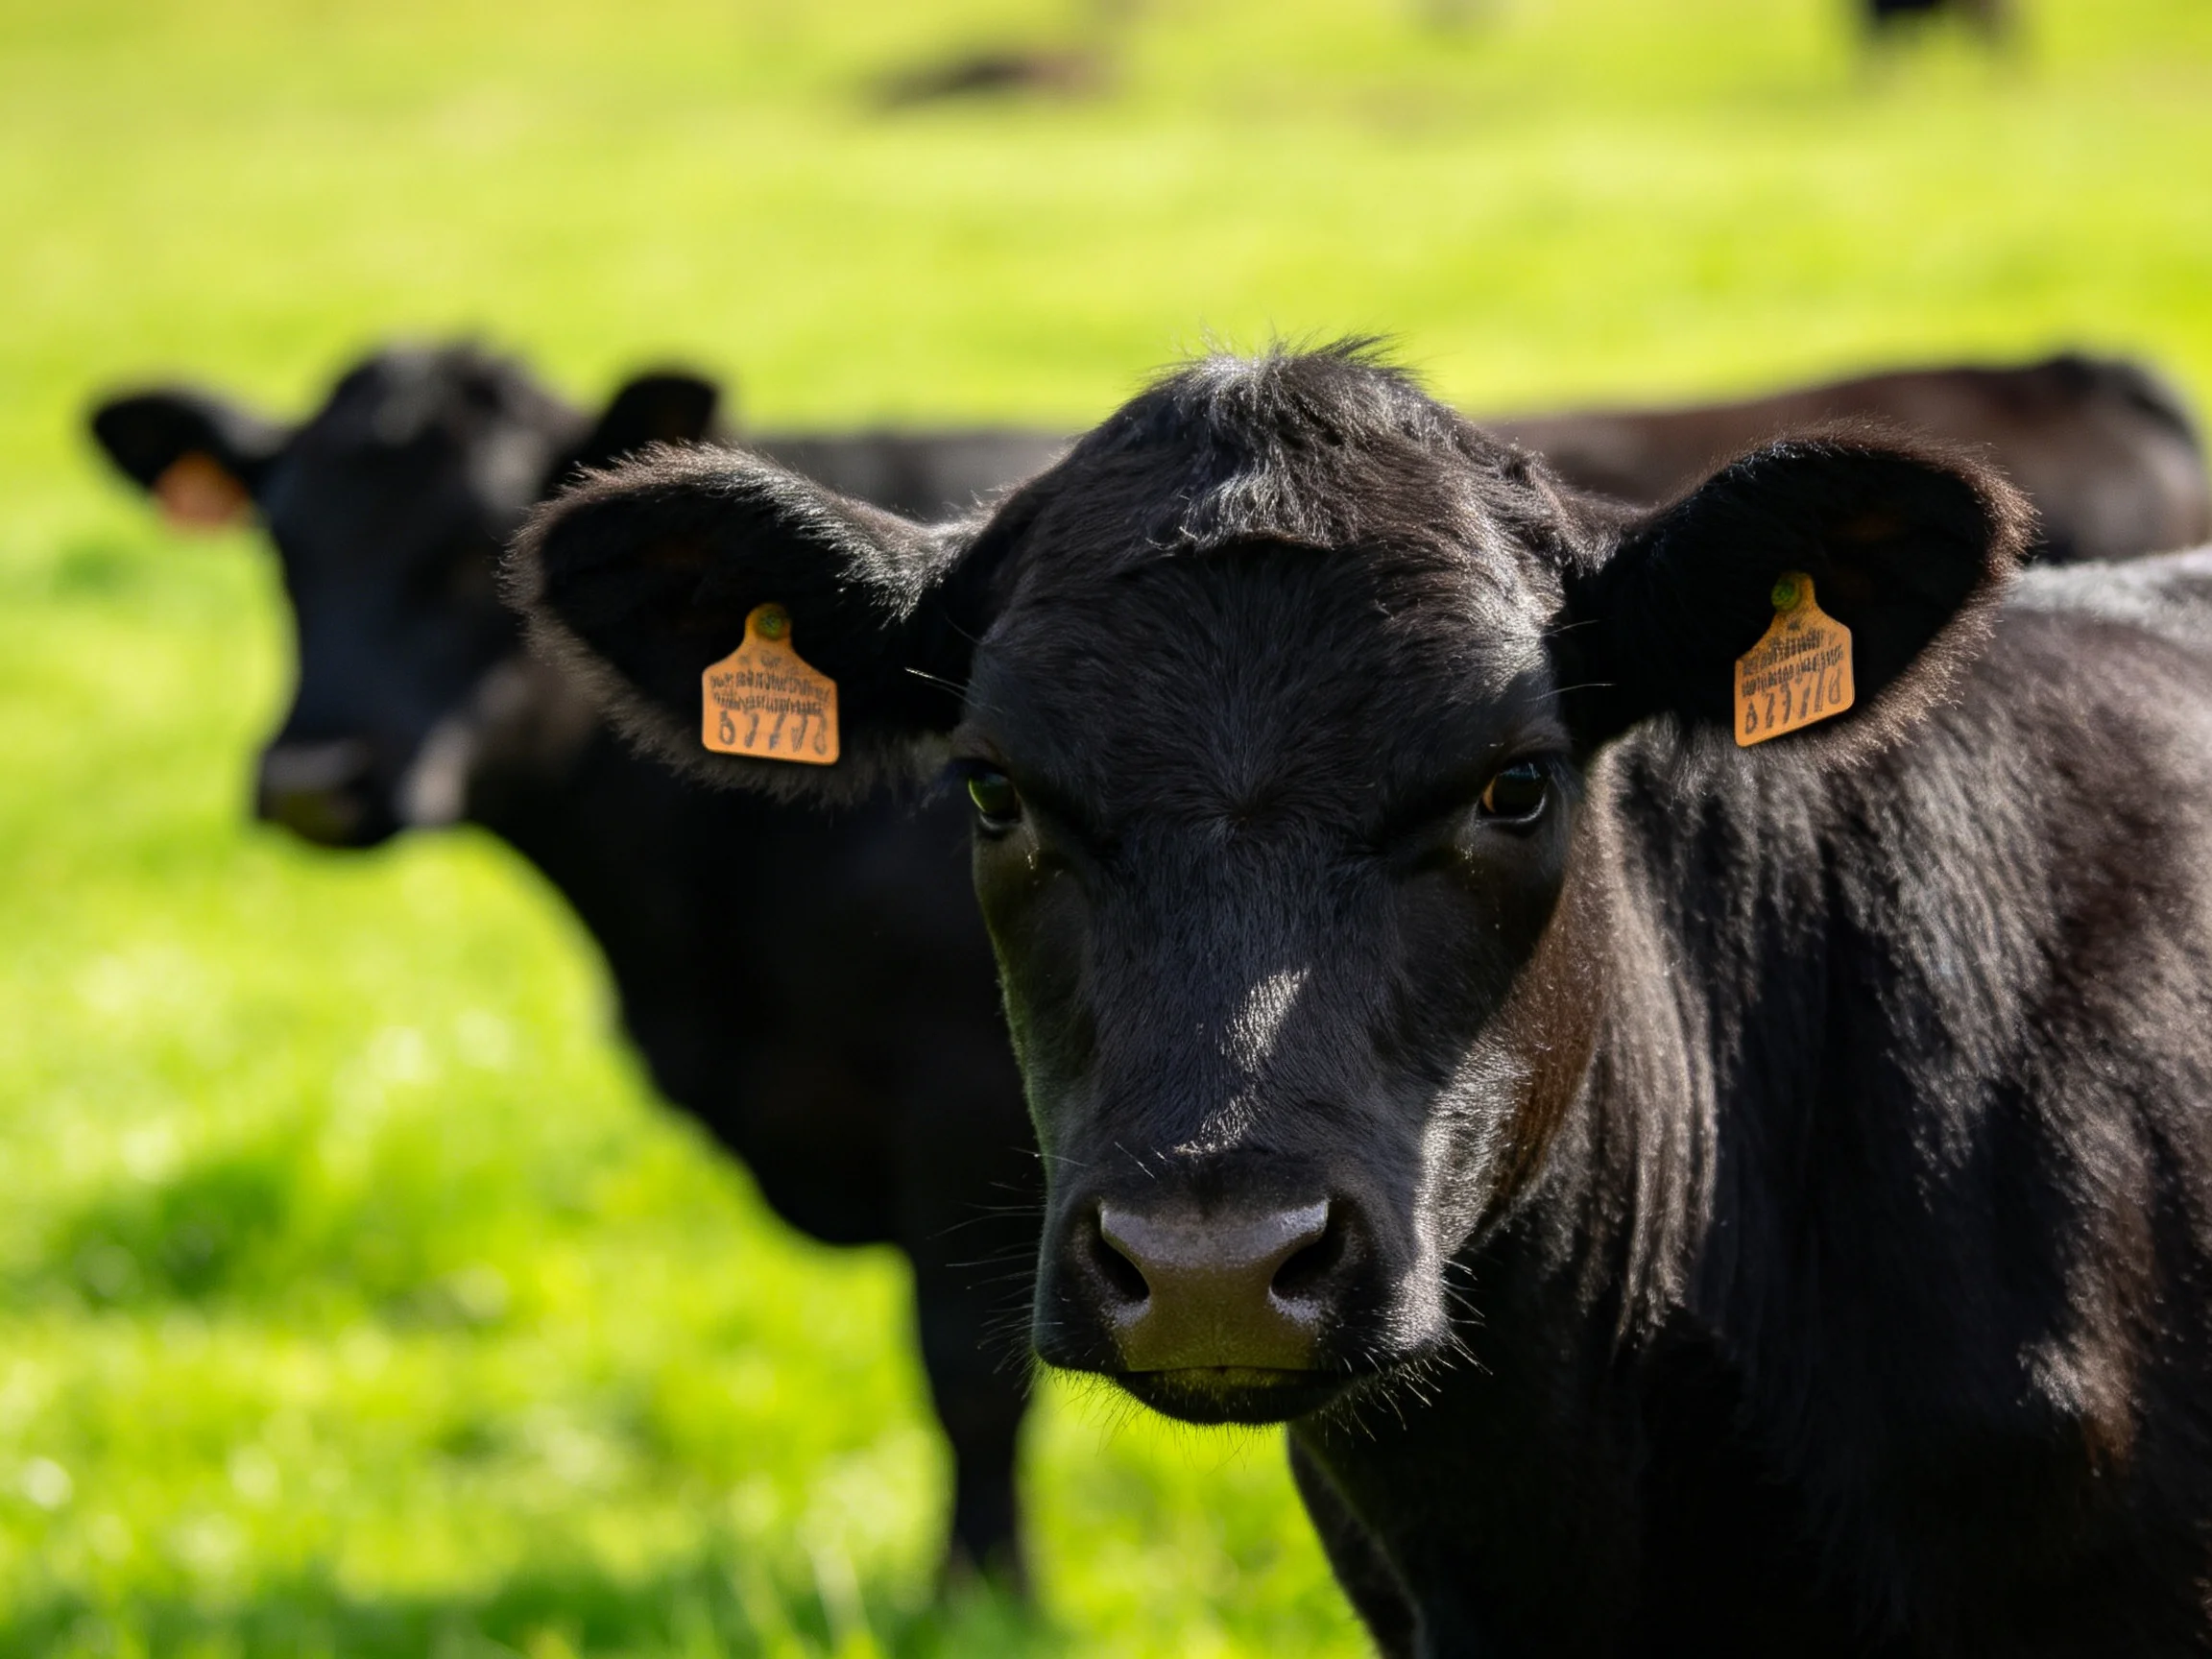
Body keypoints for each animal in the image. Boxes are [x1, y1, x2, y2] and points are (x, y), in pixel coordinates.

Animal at [86, 344, 1043, 1585]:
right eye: (282, 545)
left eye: (479, 552)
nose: (312, 780)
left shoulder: (967, 1113)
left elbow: (970, 1377)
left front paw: (981, 1590)